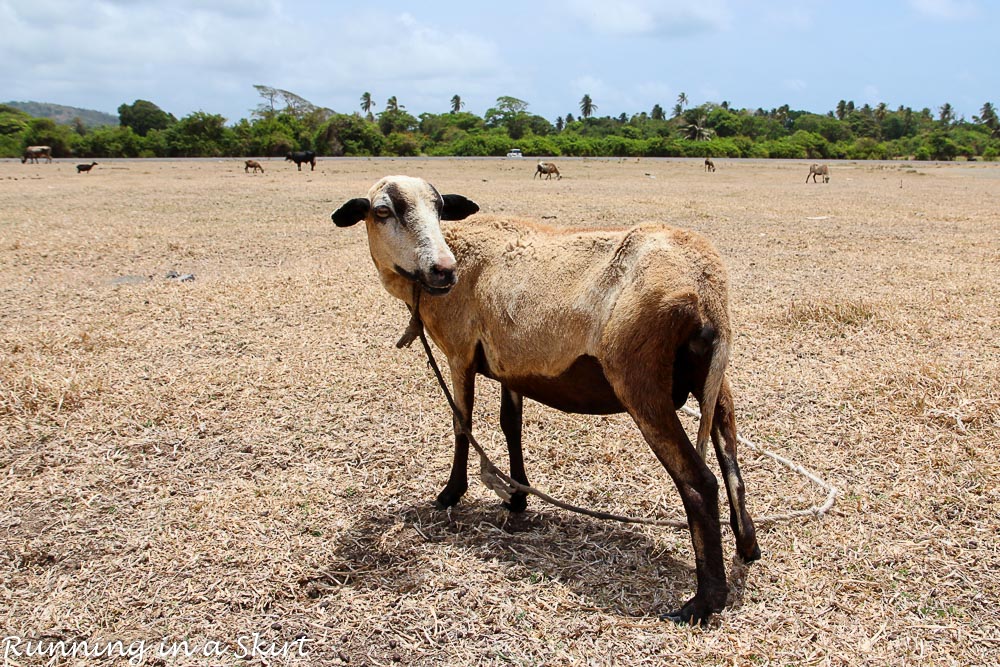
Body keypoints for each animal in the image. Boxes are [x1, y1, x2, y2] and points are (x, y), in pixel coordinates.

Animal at [332, 176, 760, 628]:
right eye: (383, 211)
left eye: (439, 207)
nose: (442, 270)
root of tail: (707, 289)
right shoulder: (512, 365)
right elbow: (510, 425)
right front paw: (518, 497)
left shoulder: (460, 353)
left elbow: (461, 422)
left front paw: (450, 494)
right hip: (712, 379)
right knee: (730, 457)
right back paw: (747, 546)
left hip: (640, 380)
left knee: (699, 482)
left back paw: (704, 602)